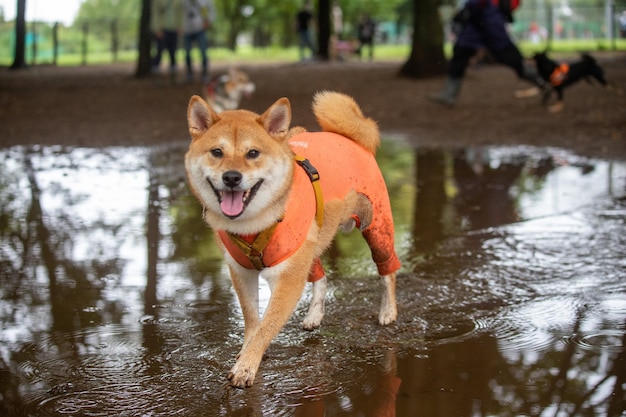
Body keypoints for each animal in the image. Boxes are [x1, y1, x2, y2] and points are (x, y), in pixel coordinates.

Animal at [185, 90, 400, 386]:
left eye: (253, 153)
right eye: (217, 152)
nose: (231, 177)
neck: (254, 222)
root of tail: (348, 136)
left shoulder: (287, 279)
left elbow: (266, 326)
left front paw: (246, 366)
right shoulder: (241, 271)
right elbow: (252, 321)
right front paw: (247, 354)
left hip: (376, 228)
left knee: (387, 272)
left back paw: (388, 312)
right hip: (310, 245)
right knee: (321, 277)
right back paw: (314, 315)